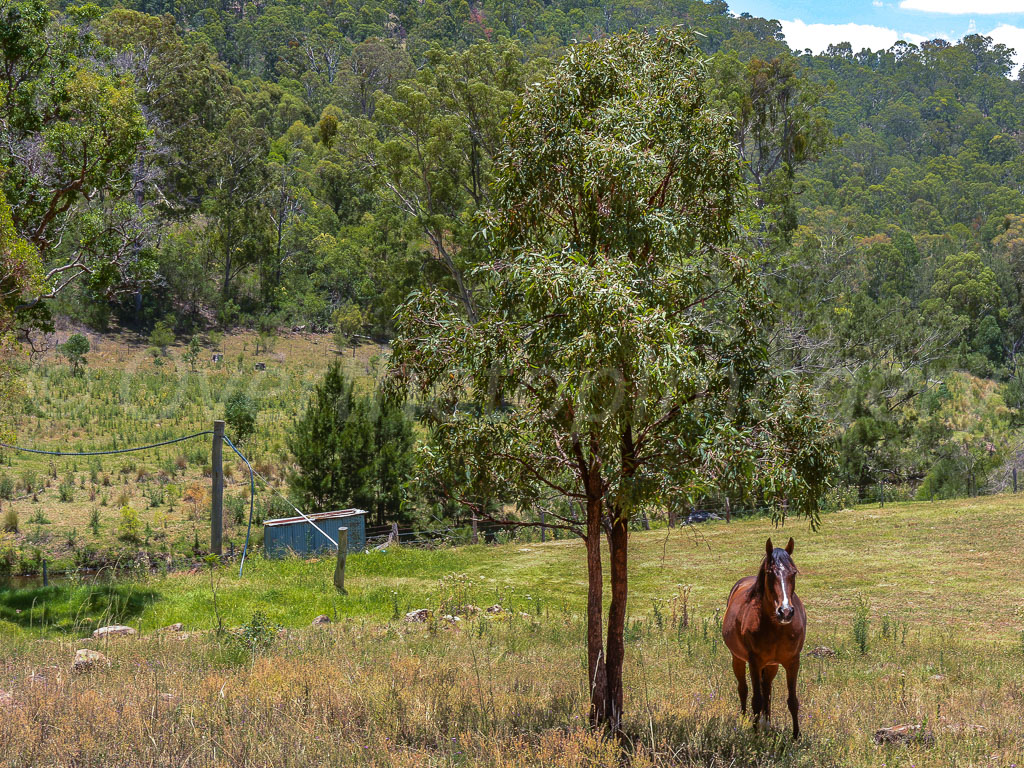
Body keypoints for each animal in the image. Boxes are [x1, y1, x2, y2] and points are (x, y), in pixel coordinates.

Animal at [720, 536, 806, 741]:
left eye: (794, 572)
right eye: (770, 573)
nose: (785, 611)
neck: (777, 627)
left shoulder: (793, 662)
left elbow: (792, 700)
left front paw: (796, 736)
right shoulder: (754, 662)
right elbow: (756, 700)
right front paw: (754, 734)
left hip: (772, 665)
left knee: (767, 688)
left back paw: (766, 723)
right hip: (738, 659)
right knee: (743, 689)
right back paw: (745, 720)